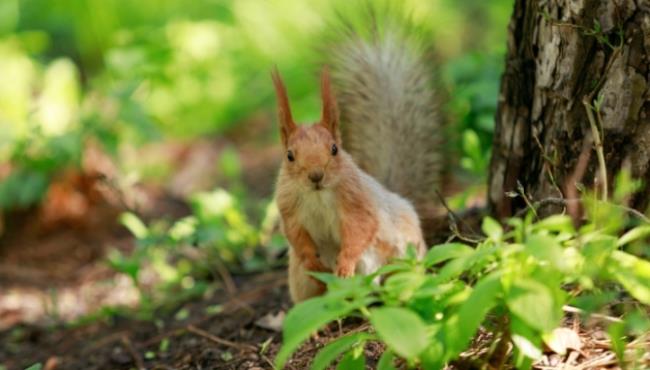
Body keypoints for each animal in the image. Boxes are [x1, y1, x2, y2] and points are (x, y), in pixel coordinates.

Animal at [268, 15, 440, 302]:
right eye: (290, 156)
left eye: (334, 149)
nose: (316, 175)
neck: (317, 195)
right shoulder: (288, 205)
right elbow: (295, 235)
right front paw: (311, 260)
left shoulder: (356, 200)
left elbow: (360, 228)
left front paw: (345, 264)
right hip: (301, 280)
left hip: (390, 256)